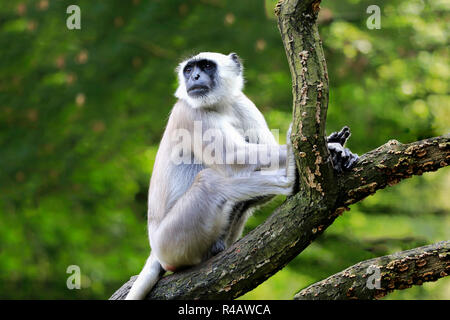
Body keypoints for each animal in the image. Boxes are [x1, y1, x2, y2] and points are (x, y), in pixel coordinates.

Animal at [126, 51, 358, 298]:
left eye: (206, 66)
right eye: (189, 70)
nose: (194, 77)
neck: (218, 106)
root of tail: (155, 251)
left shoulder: (242, 102)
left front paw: (338, 152)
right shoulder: (189, 111)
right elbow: (233, 159)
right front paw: (330, 147)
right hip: (171, 242)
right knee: (210, 181)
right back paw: (289, 180)